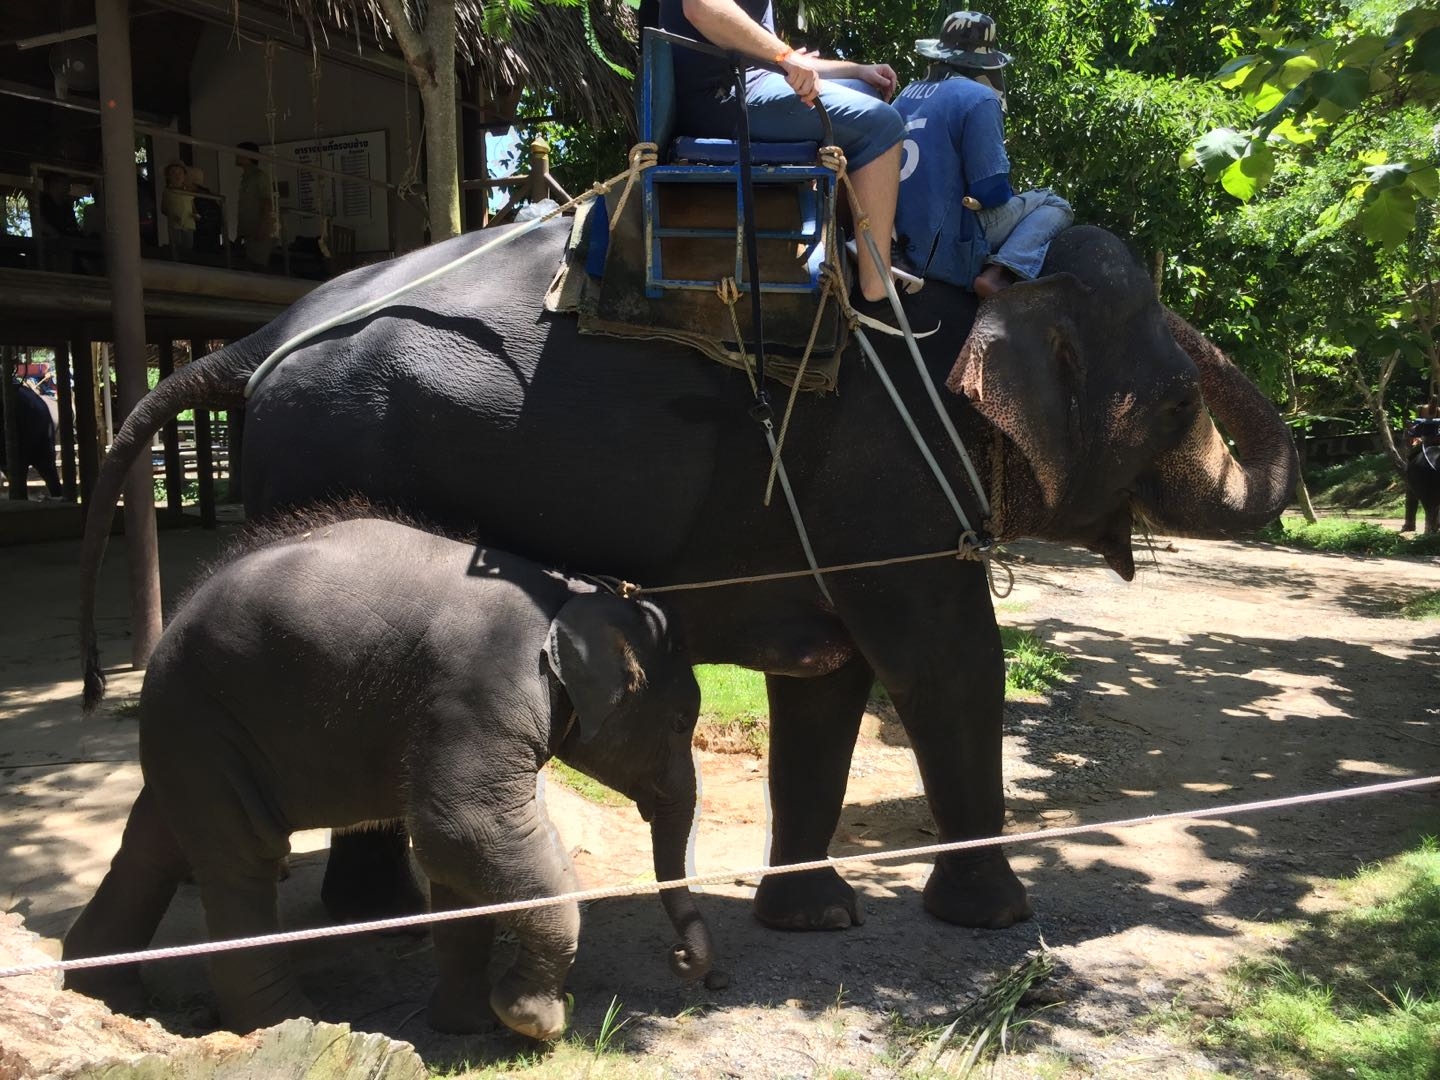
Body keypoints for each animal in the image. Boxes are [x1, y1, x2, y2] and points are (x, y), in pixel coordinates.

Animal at [63, 521, 714, 1042]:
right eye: (682, 721)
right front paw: (535, 1021)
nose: (683, 959)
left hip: (193, 730)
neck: (571, 592)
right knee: (241, 857)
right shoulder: (481, 689)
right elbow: (463, 830)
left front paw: (470, 1026)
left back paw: (100, 995)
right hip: (209, 717)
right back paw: (288, 1024)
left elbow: (464, 860)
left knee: (155, 844)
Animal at [75, 217, 1296, 933]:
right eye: (1176, 406)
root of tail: (263, 335)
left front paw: (816, 922)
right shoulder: (889, 480)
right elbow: (947, 664)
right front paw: (998, 924)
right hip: (327, 461)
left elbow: (829, 688)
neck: (975, 295)